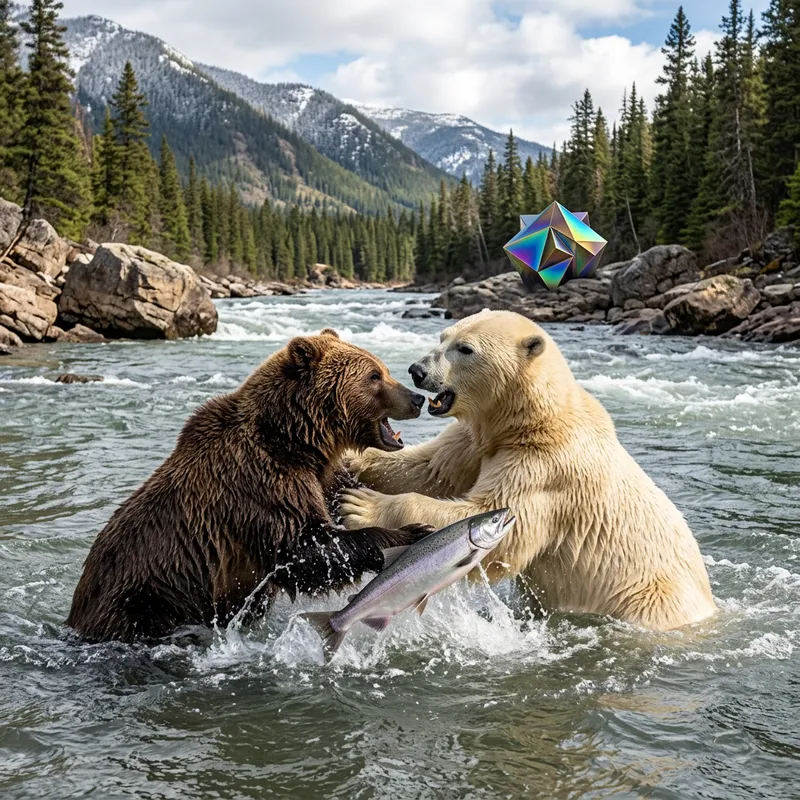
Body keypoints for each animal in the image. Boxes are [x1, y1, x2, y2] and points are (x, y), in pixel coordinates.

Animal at [66, 329, 432, 643]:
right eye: (374, 375)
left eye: (383, 369)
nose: (416, 399)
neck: (298, 439)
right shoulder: (260, 483)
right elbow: (305, 550)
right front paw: (411, 532)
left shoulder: (320, 477)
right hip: (146, 597)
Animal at [339, 310, 717, 632]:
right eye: (443, 336)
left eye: (466, 348)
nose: (417, 370)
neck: (533, 417)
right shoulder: (477, 441)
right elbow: (430, 469)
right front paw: (353, 459)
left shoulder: (546, 467)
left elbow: (502, 522)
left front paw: (361, 506)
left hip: (647, 598)